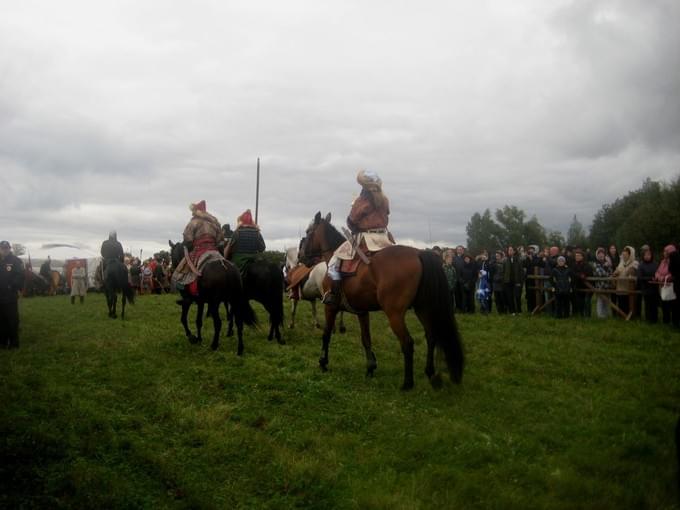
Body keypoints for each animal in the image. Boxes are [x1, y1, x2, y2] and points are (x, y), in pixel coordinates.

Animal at [302, 211, 464, 390]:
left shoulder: (330, 308)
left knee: (407, 342)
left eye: (308, 232)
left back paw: (407, 383)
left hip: (394, 314)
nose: (301, 257)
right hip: (423, 308)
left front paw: (323, 362)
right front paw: (370, 368)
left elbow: (326, 334)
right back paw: (430, 373)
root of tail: (418, 253)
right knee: (431, 336)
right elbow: (366, 339)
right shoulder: (362, 312)